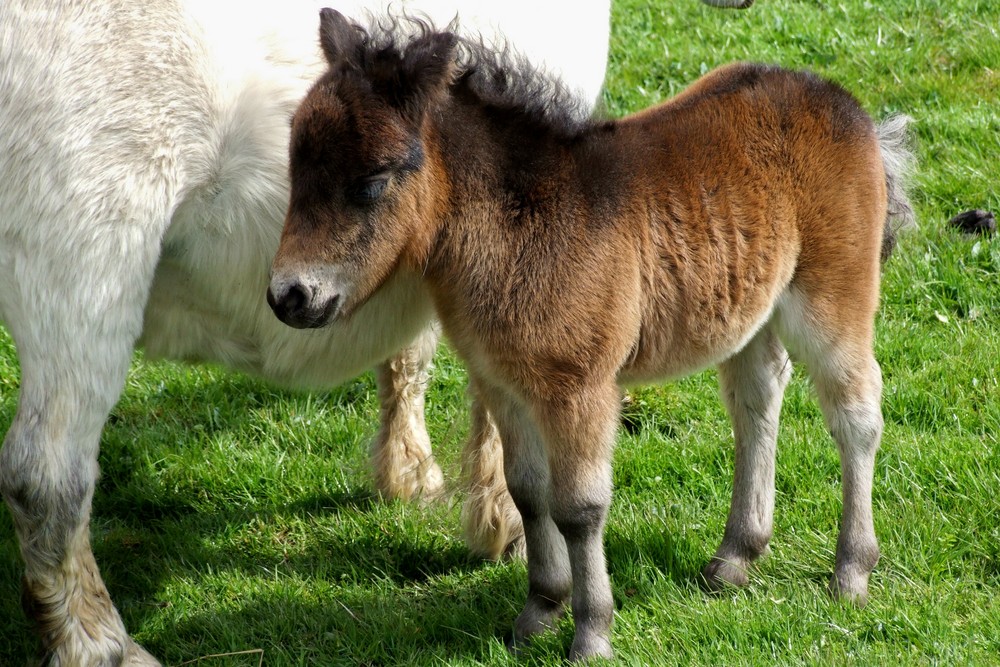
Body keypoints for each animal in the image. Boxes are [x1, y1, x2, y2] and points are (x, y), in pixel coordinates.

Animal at [0, 1, 744, 667]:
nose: (289, 295)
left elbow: (414, 354)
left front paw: (409, 473)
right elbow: (504, 406)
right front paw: (502, 524)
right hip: (84, 276)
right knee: (45, 476)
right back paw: (99, 644)